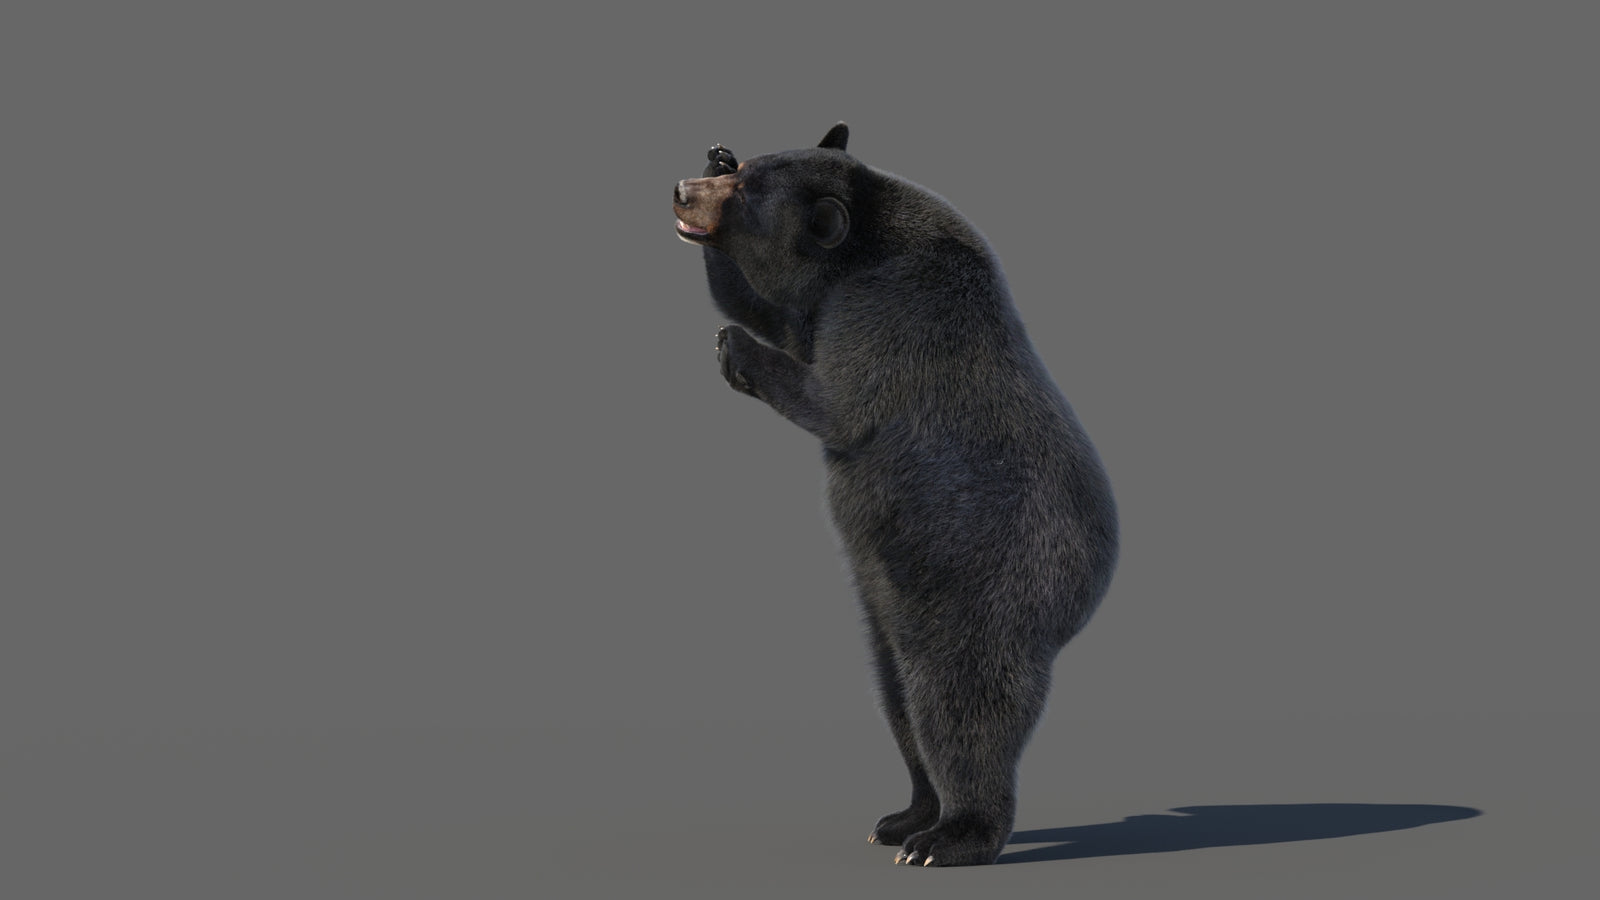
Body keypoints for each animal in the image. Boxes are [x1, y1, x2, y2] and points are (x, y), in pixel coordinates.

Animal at [673, 123, 1118, 867]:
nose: (683, 190)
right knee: (897, 698)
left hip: (985, 592)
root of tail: (1088, 594)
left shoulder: (890, 312)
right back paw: (905, 816)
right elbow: (771, 309)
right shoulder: (824, 304)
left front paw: (733, 347)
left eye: (749, 197)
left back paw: (951, 837)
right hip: (889, 607)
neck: (865, 245)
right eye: (744, 171)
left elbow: (837, 401)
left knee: (957, 708)